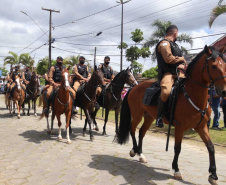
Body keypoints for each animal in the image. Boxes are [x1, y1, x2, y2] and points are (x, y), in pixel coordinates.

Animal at [116, 45, 226, 185]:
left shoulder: (201, 126)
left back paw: (141, 155)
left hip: (149, 117)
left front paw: (213, 175)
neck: (192, 95)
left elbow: (211, 147)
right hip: (137, 115)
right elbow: (177, 148)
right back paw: (134, 150)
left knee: (141, 132)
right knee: (132, 129)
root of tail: (133, 88)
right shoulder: (180, 127)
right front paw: (176, 169)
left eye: (225, 65)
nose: (223, 91)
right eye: (213, 66)